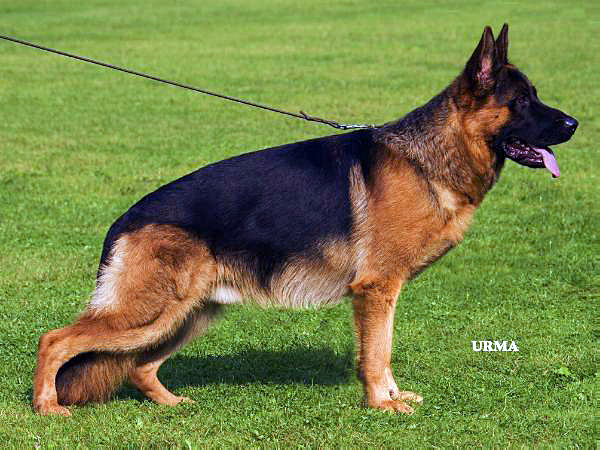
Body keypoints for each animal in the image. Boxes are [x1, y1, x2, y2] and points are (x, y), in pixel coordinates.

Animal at [33, 24, 577, 416]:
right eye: (522, 102)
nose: (574, 123)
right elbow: (376, 353)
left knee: (140, 367)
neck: (427, 159)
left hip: (188, 311)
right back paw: (47, 408)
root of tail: (123, 220)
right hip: (151, 311)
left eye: (535, 96)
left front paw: (391, 397)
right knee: (55, 340)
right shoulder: (376, 289)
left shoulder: (384, 292)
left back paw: (170, 404)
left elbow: (384, 349)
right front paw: (382, 405)